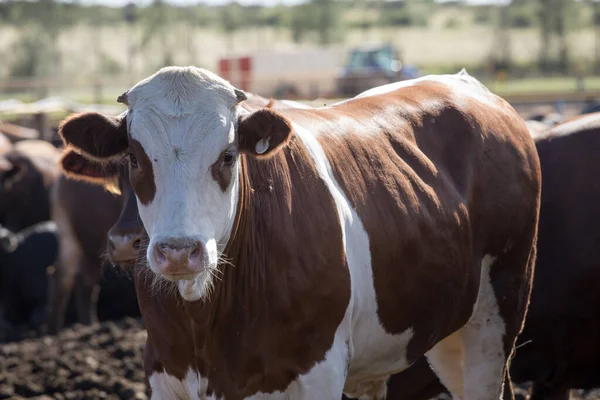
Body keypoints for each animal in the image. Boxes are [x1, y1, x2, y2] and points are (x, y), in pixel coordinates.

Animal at [58, 68, 540, 400]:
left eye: (228, 155)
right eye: (134, 159)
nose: (179, 252)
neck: (207, 320)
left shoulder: (317, 371)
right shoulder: (164, 372)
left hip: (495, 316)